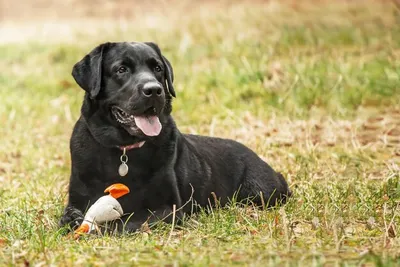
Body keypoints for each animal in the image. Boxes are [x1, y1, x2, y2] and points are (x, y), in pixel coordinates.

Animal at [59, 41, 290, 232]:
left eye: (157, 68)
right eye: (121, 69)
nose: (153, 90)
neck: (123, 150)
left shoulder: (167, 208)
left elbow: (127, 219)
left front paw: (97, 227)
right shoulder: (77, 199)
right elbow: (69, 215)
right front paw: (73, 221)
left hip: (260, 192)